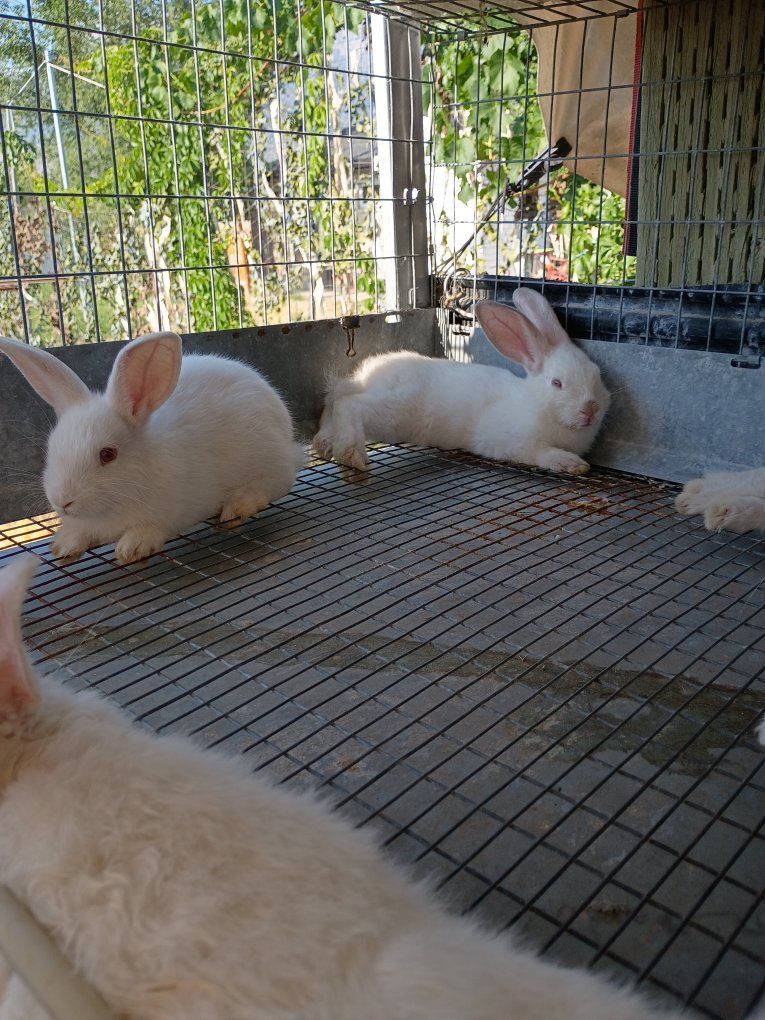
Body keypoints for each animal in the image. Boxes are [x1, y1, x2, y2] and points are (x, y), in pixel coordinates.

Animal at [0, 334, 306, 564]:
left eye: (107, 454)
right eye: (51, 448)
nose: (62, 502)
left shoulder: (171, 512)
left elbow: (151, 529)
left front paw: (131, 548)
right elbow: (79, 532)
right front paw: (64, 545)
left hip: (267, 460)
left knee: (273, 485)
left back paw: (237, 508)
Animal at [313, 288, 610, 476]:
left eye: (597, 375)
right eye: (557, 383)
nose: (590, 410)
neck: (538, 406)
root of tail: (363, 377)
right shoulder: (514, 442)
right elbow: (541, 453)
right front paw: (571, 463)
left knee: (332, 405)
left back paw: (324, 444)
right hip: (393, 410)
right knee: (348, 404)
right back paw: (352, 455)